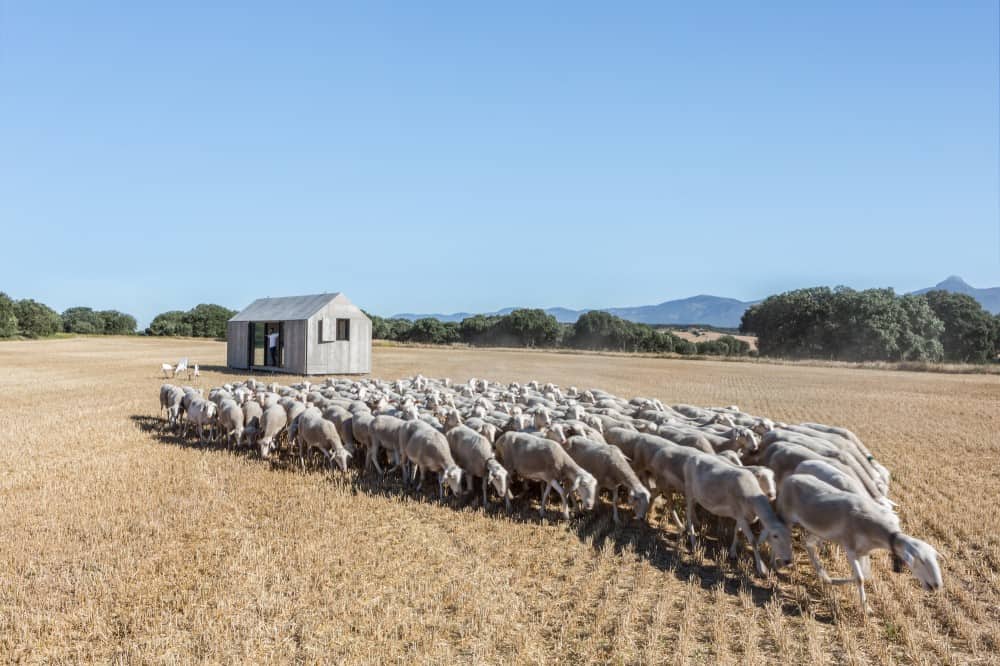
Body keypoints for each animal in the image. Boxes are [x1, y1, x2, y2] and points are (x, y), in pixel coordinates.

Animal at [777, 474, 941, 614]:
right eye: (921, 561)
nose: (937, 585)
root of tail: (791, 477)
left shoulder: (863, 551)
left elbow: (865, 576)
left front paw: (835, 581)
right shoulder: (850, 548)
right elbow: (860, 578)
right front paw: (866, 609)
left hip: (818, 531)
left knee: (809, 544)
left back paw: (823, 575)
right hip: (787, 516)